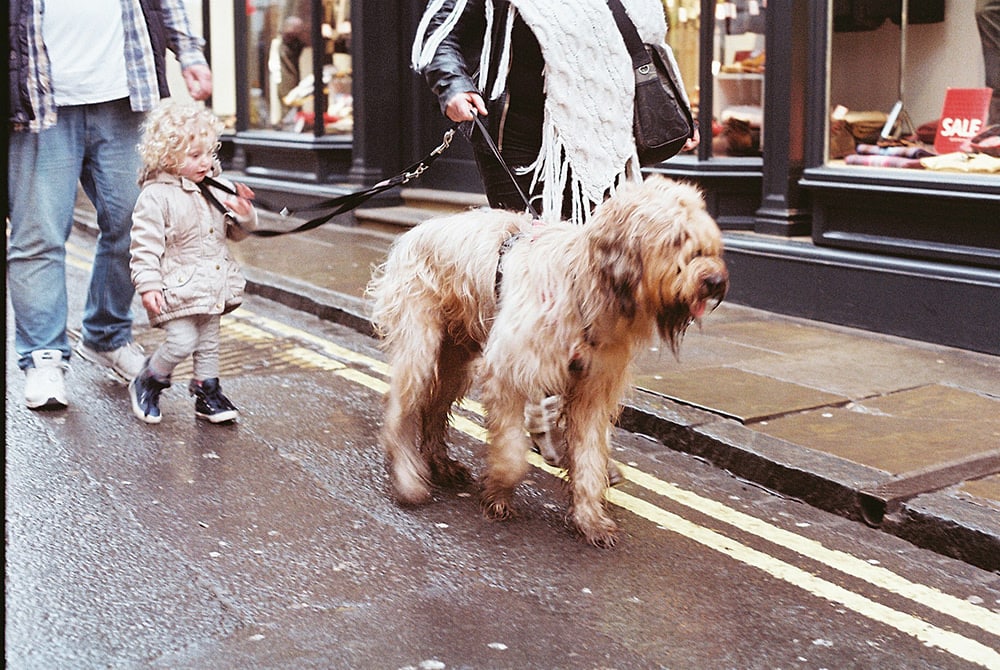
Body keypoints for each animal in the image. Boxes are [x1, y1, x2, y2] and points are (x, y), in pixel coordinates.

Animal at [368, 176, 728, 548]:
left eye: (709, 243)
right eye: (677, 239)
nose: (715, 281)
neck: (585, 284)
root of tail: (414, 231)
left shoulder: (591, 390)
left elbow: (589, 457)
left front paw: (589, 518)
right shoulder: (507, 373)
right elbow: (513, 452)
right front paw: (498, 493)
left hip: (456, 357)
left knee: (434, 409)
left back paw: (440, 464)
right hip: (419, 346)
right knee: (400, 411)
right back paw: (408, 477)